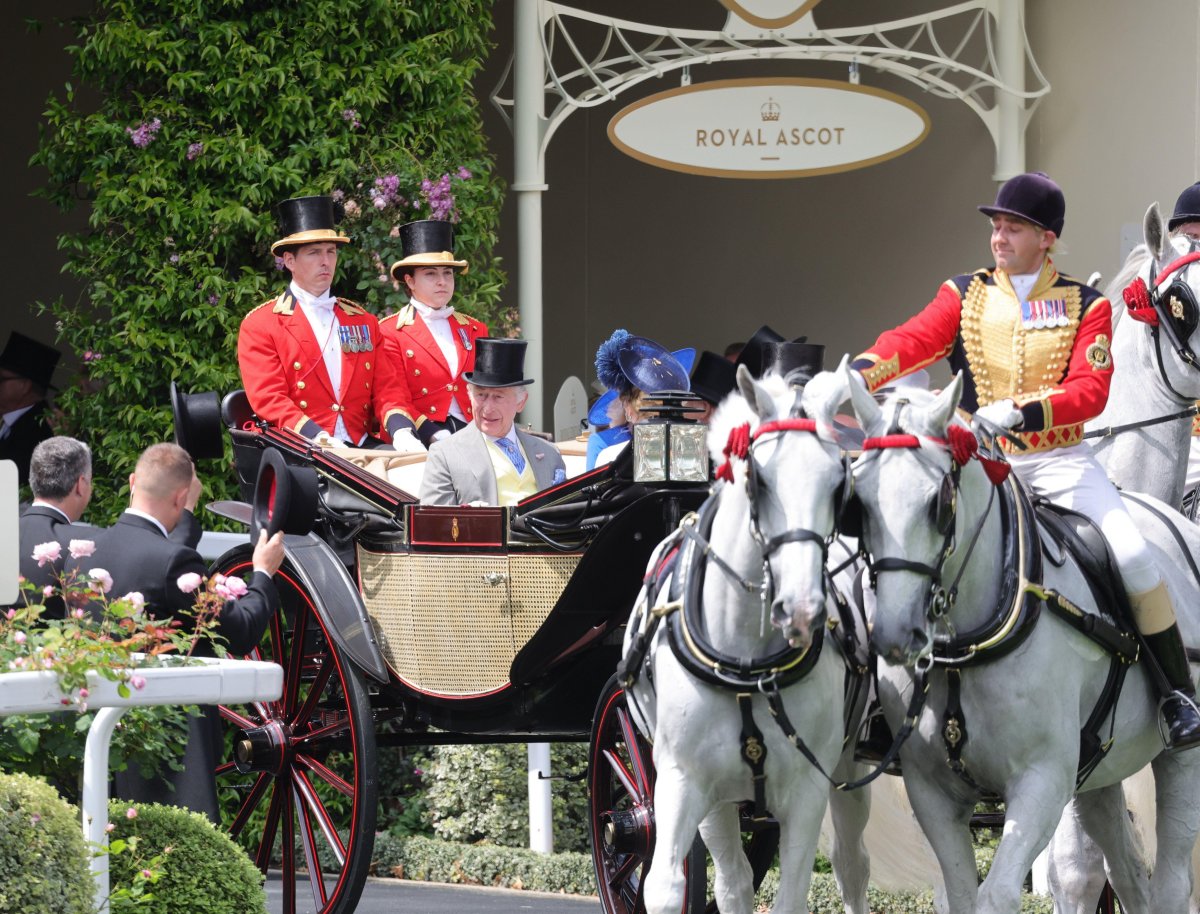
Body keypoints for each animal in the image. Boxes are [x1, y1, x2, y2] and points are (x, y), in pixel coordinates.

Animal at [624, 364, 868, 911]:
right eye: (760, 477)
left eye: (839, 482)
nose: (801, 609)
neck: (745, 664)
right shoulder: (682, 778)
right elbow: (665, 887)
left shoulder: (807, 789)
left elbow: (792, 895)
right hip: (717, 800)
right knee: (732, 880)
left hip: (844, 766)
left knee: (851, 864)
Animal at [849, 371, 1200, 911]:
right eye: (857, 501)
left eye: (939, 502)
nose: (894, 633)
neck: (965, 647)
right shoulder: (932, 793)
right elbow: (962, 894)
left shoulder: (1043, 781)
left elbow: (997, 896)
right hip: (1100, 773)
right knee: (1127, 874)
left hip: (1179, 758)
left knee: (1170, 883)